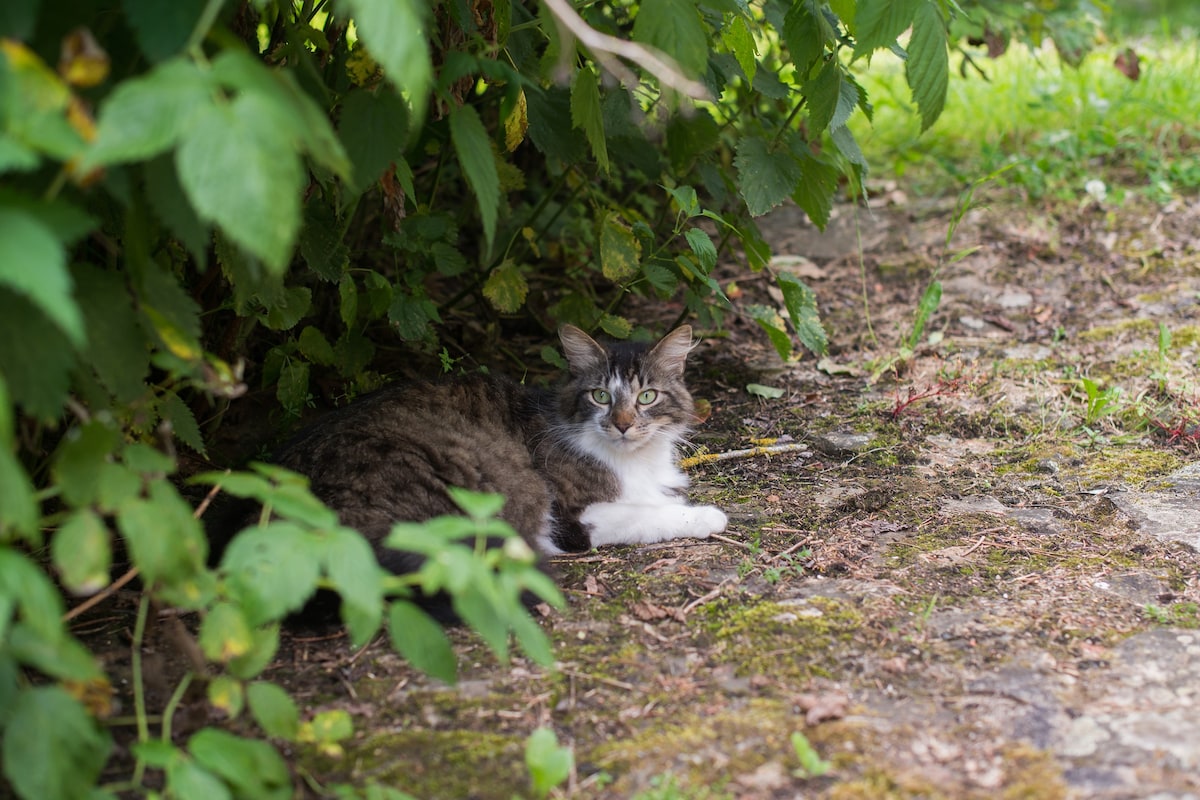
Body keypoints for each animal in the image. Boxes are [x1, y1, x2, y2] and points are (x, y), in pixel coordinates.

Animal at [212, 326, 724, 618]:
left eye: (646, 397)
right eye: (600, 396)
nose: (622, 424)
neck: (634, 458)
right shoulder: (574, 515)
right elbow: (651, 513)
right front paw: (707, 515)